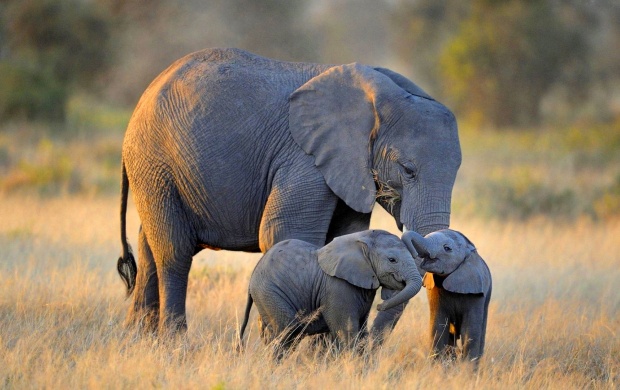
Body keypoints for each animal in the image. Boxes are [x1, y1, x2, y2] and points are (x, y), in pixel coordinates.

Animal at [116, 47, 460, 336]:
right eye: (408, 170)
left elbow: (344, 236)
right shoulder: (304, 158)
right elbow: (285, 233)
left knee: (149, 245)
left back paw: (138, 340)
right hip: (154, 162)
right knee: (174, 251)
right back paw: (174, 343)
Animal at [237, 229, 422, 356]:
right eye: (392, 260)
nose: (380, 306)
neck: (362, 239)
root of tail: (253, 277)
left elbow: (361, 331)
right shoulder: (337, 288)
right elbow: (347, 332)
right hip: (270, 293)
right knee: (287, 333)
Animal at [404, 229, 492, 362]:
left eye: (447, 248)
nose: (414, 254)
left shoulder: (476, 292)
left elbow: (470, 330)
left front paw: (467, 367)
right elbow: (438, 326)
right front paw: (437, 365)